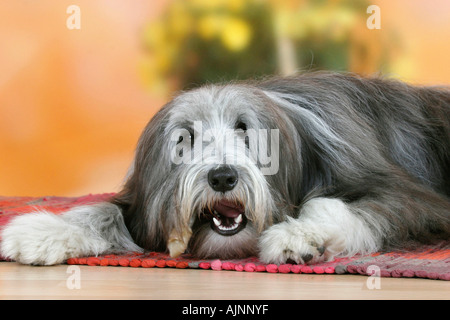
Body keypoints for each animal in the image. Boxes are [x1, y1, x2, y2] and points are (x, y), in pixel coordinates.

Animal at [0, 72, 450, 264]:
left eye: (244, 129)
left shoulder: (411, 197)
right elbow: (105, 210)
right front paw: (41, 233)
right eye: (184, 138)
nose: (222, 176)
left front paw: (299, 235)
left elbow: (340, 204)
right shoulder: (140, 200)